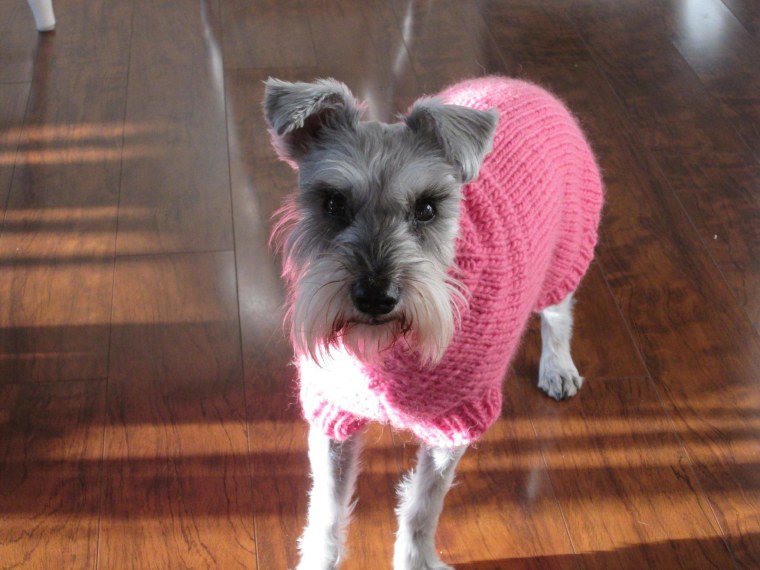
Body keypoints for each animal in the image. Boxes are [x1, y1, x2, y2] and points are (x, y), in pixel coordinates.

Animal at [264, 76, 604, 568]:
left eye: (427, 208)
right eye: (332, 203)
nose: (375, 296)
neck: (389, 353)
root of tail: (525, 85)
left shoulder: (454, 421)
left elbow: (423, 505)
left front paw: (416, 559)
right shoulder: (334, 415)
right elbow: (327, 507)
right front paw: (319, 560)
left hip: (565, 249)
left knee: (559, 312)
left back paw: (558, 367)